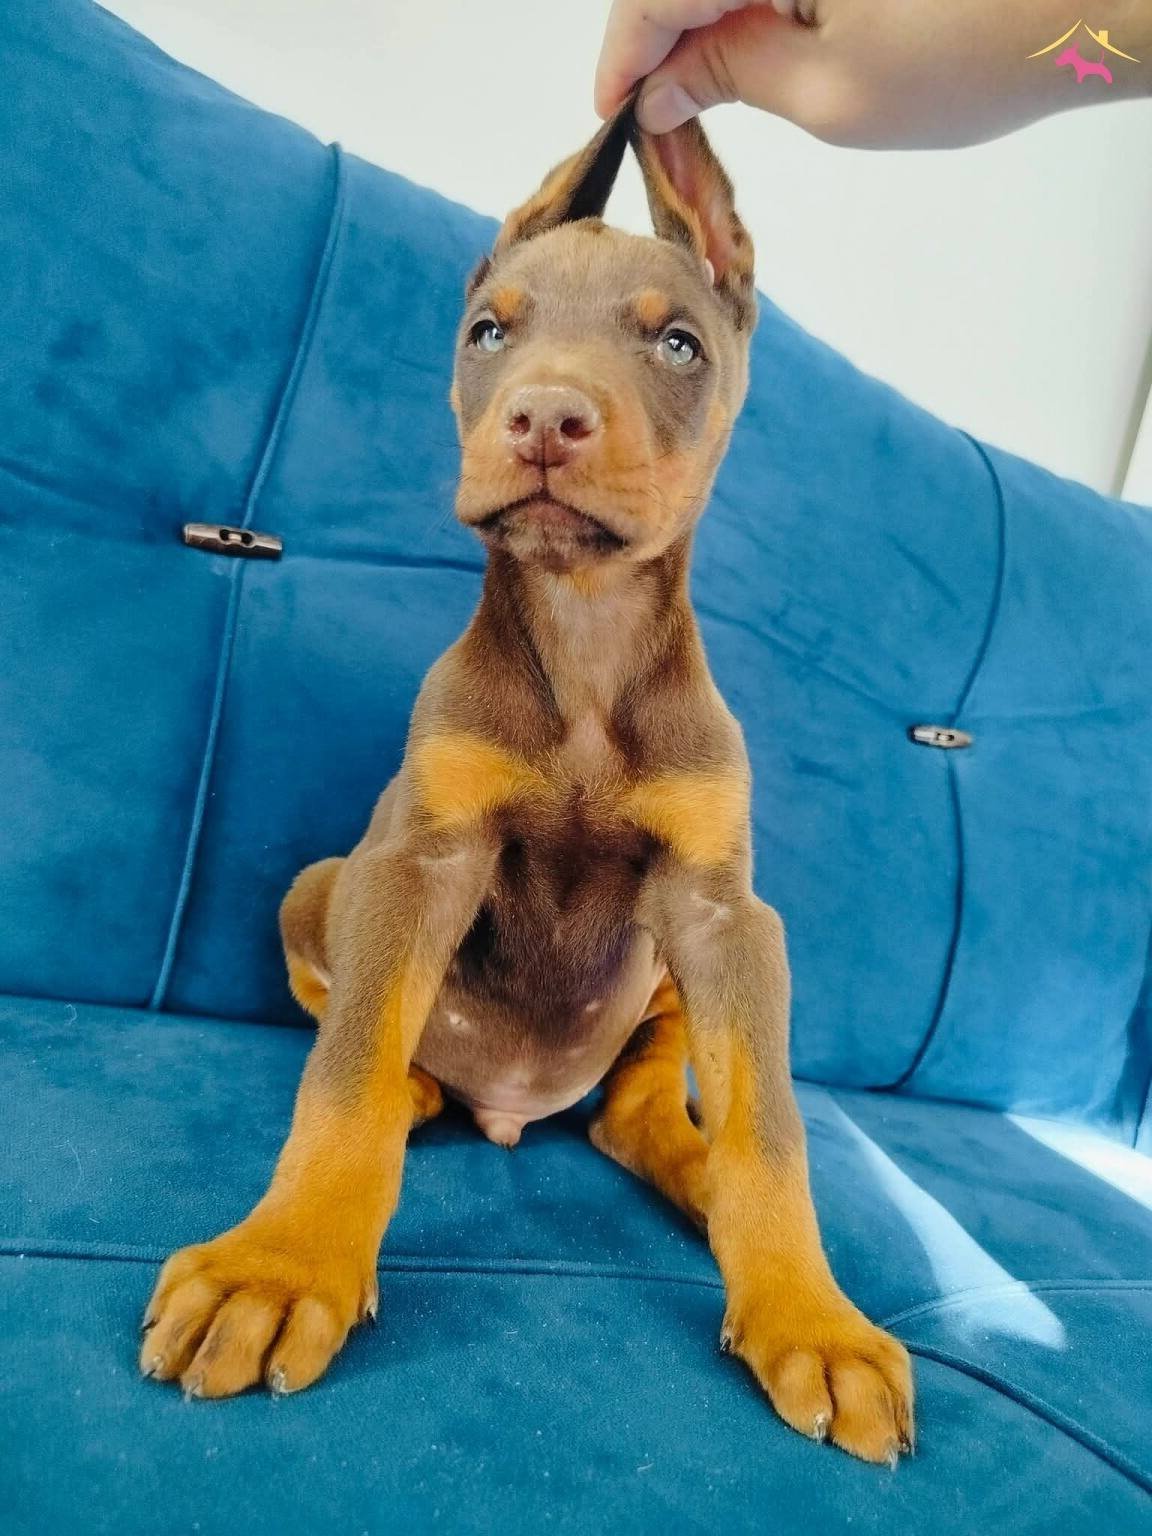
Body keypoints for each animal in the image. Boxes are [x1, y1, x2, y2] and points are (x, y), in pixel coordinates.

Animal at [140, 103, 914, 1465]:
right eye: (489, 332)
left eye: (677, 342)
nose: (545, 419)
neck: (587, 632)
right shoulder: (419, 859)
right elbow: (341, 1079)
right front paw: (280, 1267)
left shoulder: (723, 912)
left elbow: (773, 1131)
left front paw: (812, 1317)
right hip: (321, 882)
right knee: (374, 1047)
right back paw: (415, 1098)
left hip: (664, 979)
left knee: (637, 1113)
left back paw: (690, 1171)